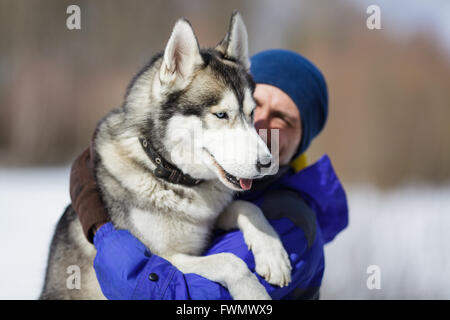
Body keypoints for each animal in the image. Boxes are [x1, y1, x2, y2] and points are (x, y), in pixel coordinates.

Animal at [41, 10, 292, 300]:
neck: (171, 176)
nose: (267, 163)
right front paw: (254, 294)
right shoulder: (162, 258)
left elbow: (248, 206)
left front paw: (272, 253)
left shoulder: (208, 224)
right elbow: (230, 260)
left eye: (252, 114)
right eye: (221, 114)